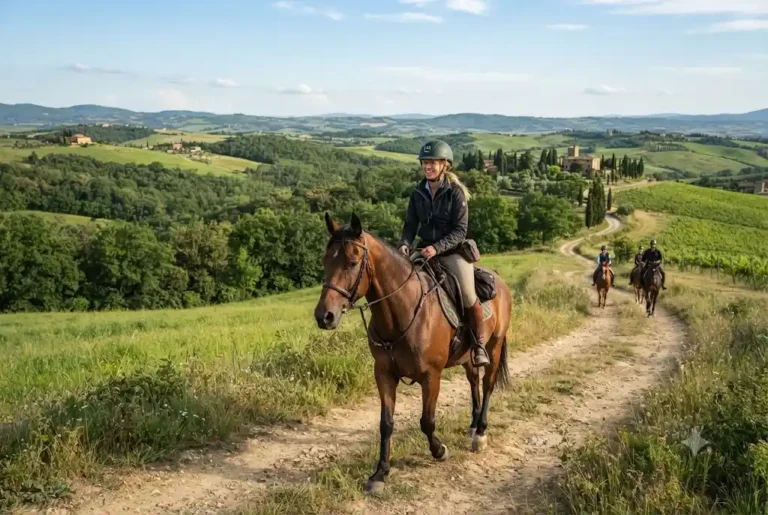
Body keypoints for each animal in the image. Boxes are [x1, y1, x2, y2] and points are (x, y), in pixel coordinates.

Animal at [314, 213, 514, 494]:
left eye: (352, 262)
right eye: (325, 260)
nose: (324, 316)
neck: (405, 311)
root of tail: (500, 283)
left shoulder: (431, 377)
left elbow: (426, 421)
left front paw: (439, 450)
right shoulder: (384, 375)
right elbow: (386, 423)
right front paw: (380, 473)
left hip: (494, 348)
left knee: (487, 385)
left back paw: (481, 434)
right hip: (467, 358)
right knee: (474, 381)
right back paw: (473, 426)